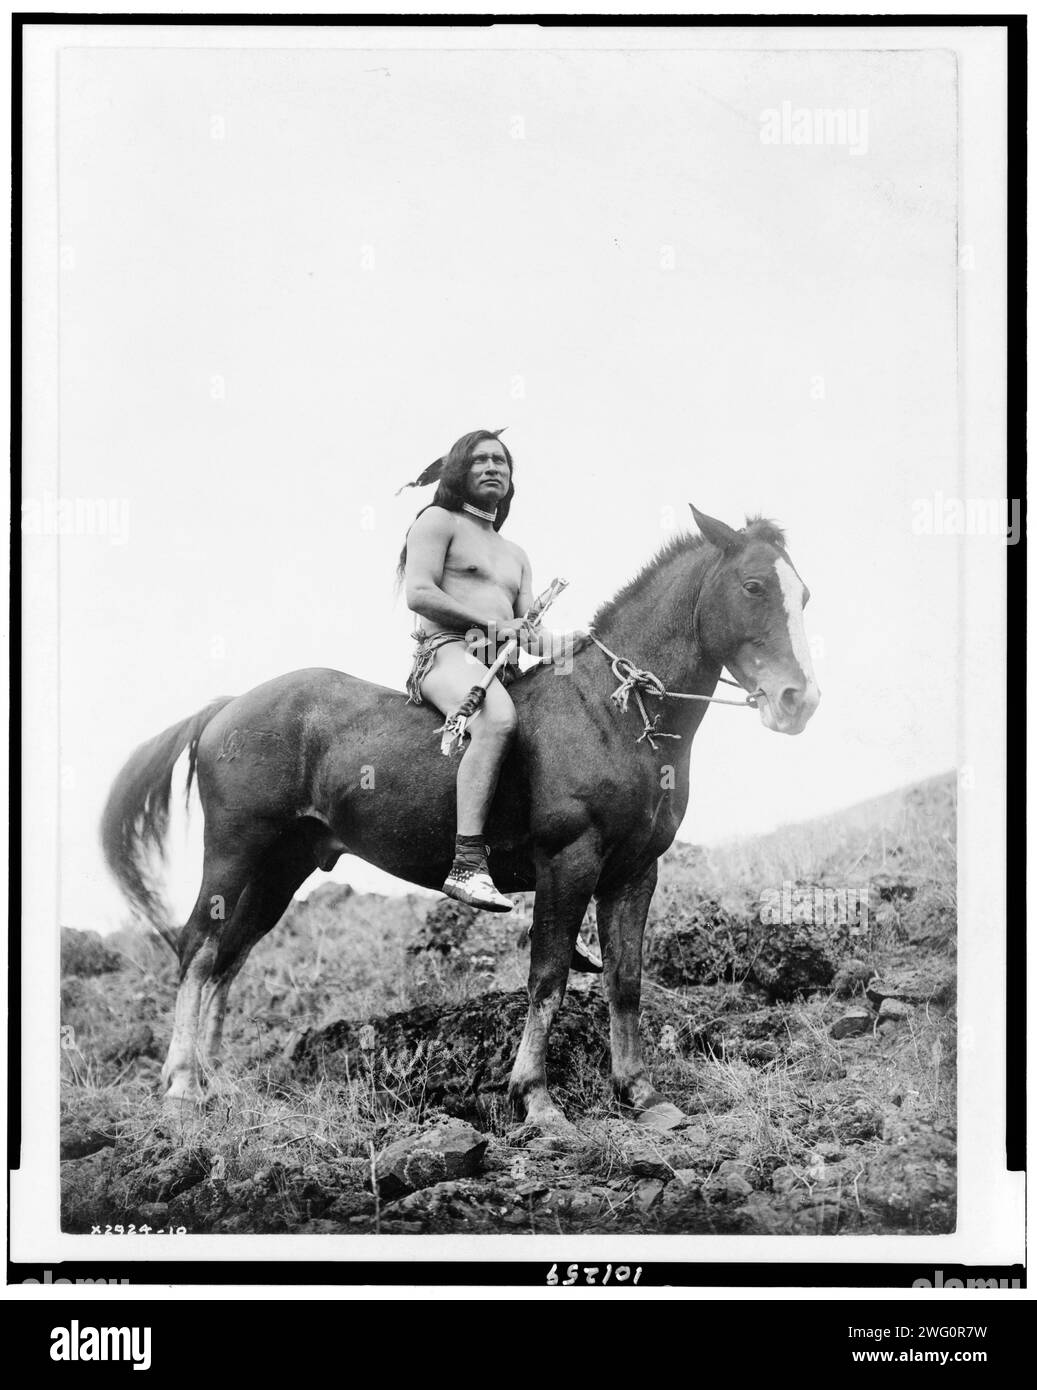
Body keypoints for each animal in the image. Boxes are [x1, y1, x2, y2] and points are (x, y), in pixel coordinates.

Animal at [102, 505, 817, 1134]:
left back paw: (213, 1080)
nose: (799, 700)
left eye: (803, 594)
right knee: (198, 947)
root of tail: (229, 706)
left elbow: (626, 981)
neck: (609, 713)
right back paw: (181, 1085)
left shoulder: (635, 872)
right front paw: (536, 1099)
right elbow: (549, 978)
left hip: (283, 867)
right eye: (753, 586)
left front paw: (639, 1094)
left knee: (229, 957)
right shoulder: (569, 861)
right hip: (235, 849)